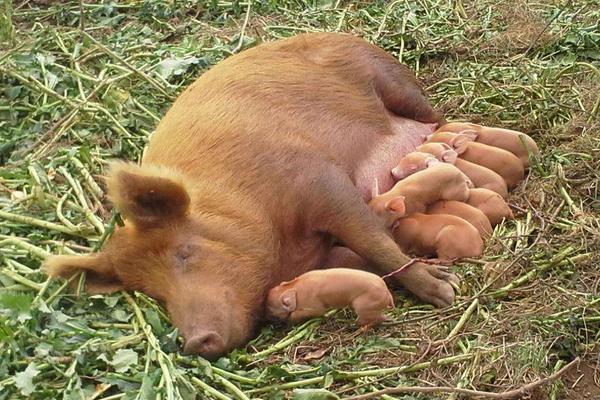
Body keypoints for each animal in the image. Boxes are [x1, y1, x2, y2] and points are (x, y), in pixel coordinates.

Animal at [44, 33, 458, 360]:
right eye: (152, 292)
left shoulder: (318, 179)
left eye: (184, 253)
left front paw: (445, 289)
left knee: (437, 115)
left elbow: (374, 241)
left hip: (391, 82)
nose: (194, 342)